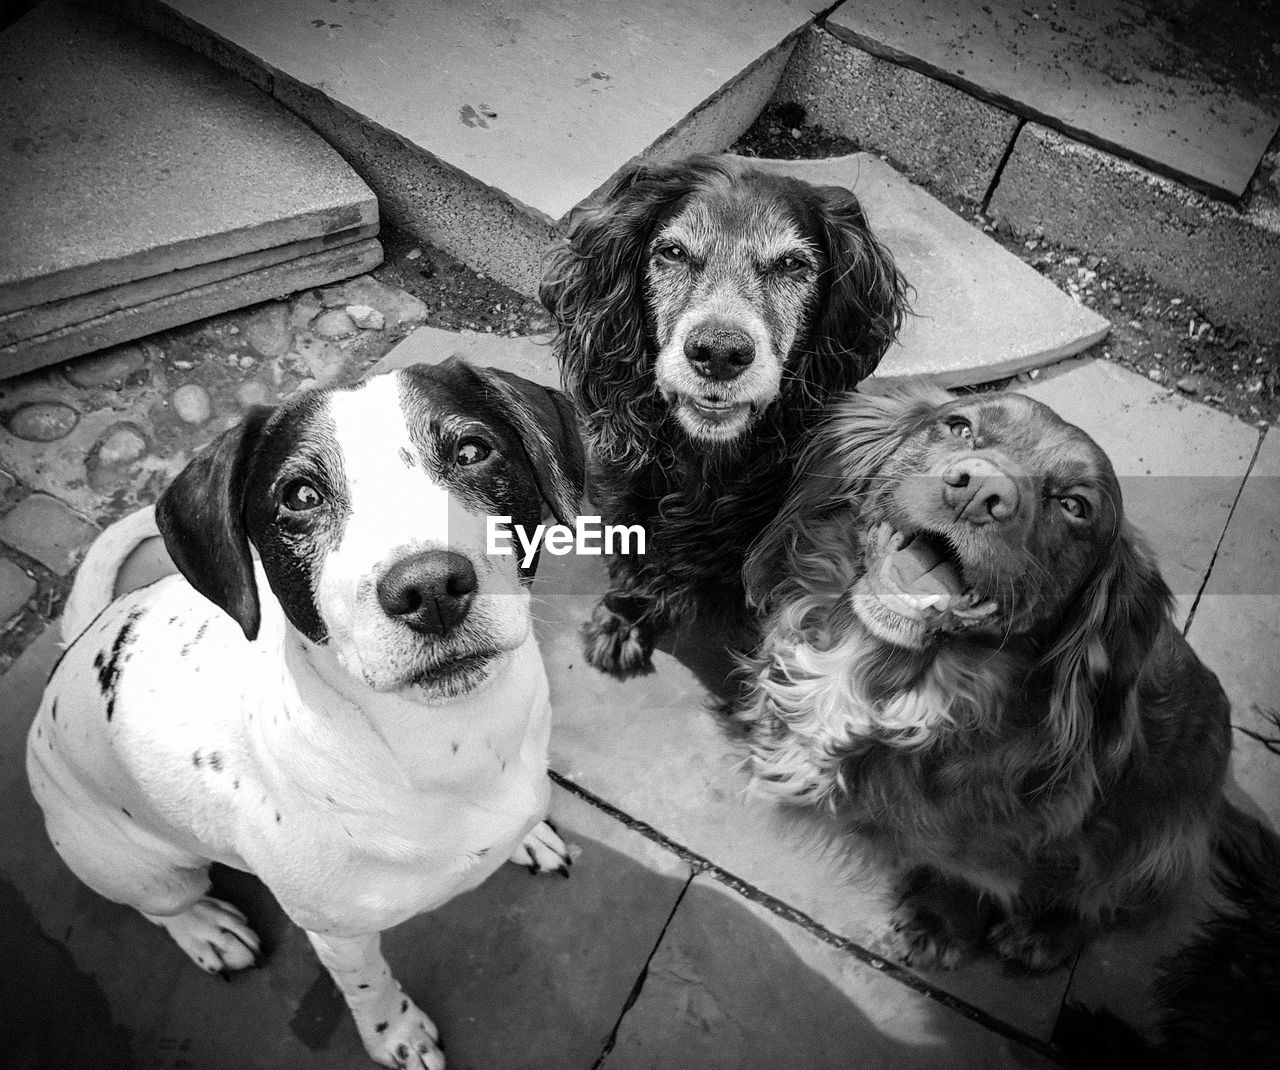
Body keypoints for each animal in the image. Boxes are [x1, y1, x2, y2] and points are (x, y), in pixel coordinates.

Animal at [27, 358, 586, 1070]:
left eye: (471, 451)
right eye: (299, 495)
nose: (430, 587)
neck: (449, 745)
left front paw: (530, 835)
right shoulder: (337, 931)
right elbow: (369, 985)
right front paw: (398, 1037)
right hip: (138, 867)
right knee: (161, 905)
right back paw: (205, 928)